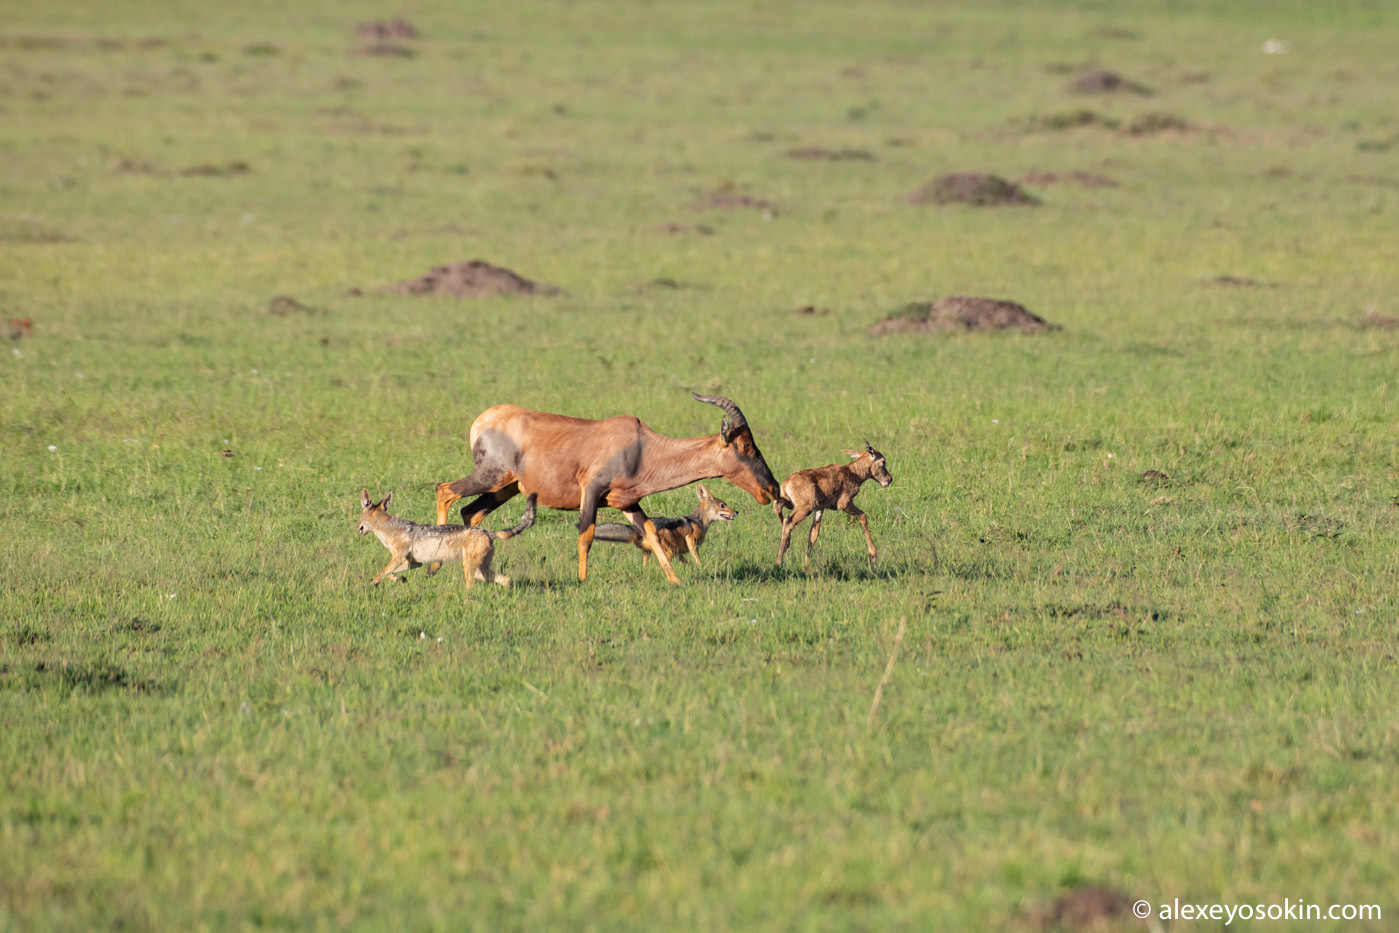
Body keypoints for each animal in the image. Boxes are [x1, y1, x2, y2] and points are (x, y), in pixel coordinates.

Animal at [360, 492, 534, 587]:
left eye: (360, 516)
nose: (359, 528)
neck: (390, 529)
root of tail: (488, 532)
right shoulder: (414, 562)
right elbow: (388, 573)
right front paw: (398, 579)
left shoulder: (398, 558)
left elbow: (380, 572)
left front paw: (370, 585)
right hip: (481, 571)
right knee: (507, 580)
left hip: (469, 568)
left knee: (471, 588)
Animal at [593, 486, 738, 565]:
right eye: (722, 505)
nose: (737, 512)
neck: (698, 522)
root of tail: (635, 527)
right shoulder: (690, 540)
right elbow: (697, 559)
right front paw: (701, 568)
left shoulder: (679, 553)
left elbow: (688, 563)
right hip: (667, 552)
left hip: (650, 552)